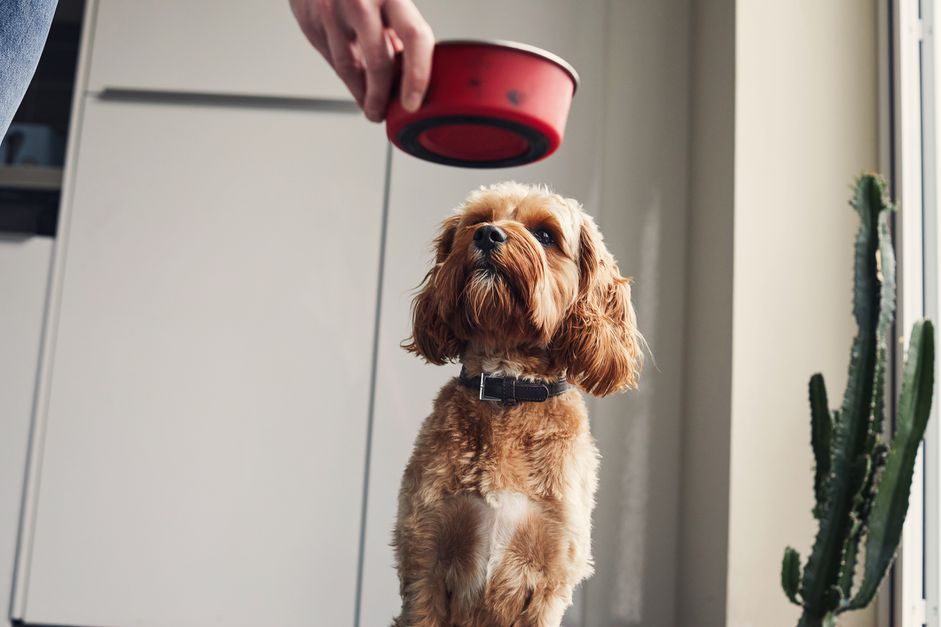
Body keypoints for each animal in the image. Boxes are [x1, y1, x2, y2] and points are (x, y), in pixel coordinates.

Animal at [392, 182, 644, 627]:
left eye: (545, 234)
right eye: (477, 220)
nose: (487, 235)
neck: (507, 387)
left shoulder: (550, 578)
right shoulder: (424, 559)